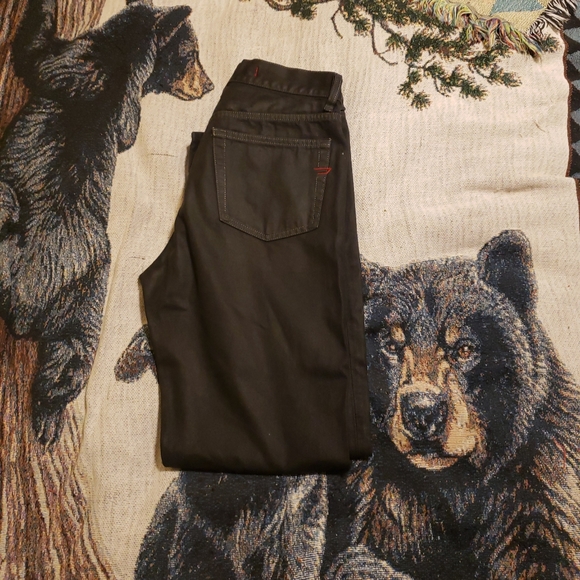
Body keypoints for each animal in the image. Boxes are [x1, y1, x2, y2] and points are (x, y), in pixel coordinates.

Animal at [0, 0, 213, 446]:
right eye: (192, 54)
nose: (209, 84)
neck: (127, 56)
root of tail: (27, 299)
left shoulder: (73, 62)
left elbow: (35, 52)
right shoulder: (122, 103)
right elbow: (127, 129)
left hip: (80, 296)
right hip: (78, 309)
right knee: (70, 360)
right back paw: (48, 420)